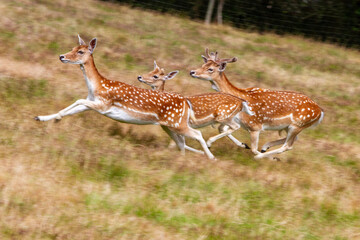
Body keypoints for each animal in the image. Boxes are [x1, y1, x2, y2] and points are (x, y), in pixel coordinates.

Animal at [34, 35, 217, 159]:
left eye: (80, 51)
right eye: (72, 48)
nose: (62, 56)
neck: (97, 87)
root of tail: (186, 103)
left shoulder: (104, 104)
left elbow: (78, 100)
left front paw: (55, 118)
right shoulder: (92, 101)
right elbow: (75, 107)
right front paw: (42, 118)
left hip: (177, 124)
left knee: (197, 134)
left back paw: (211, 157)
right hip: (170, 126)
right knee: (182, 143)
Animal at [190, 48, 324, 159]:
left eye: (210, 69)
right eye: (203, 64)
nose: (192, 72)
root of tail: (320, 111)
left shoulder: (254, 126)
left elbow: (253, 148)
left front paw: (209, 143)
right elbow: (221, 129)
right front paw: (243, 144)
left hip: (298, 124)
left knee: (288, 145)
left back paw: (264, 155)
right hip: (289, 127)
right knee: (294, 139)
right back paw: (265, 148)